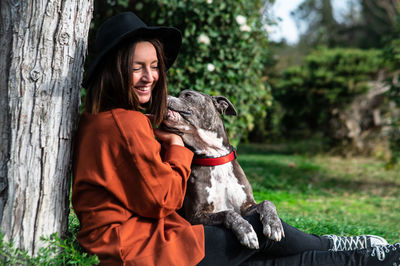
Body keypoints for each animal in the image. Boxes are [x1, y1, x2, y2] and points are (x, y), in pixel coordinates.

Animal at [162, 90, 284, 249]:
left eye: (188, 95)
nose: (164, 96)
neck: (214, 156)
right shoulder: (195, 216)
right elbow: (227, 213)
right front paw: (246, 231)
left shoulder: (246, 207)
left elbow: (267, 202)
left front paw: (274, 224)